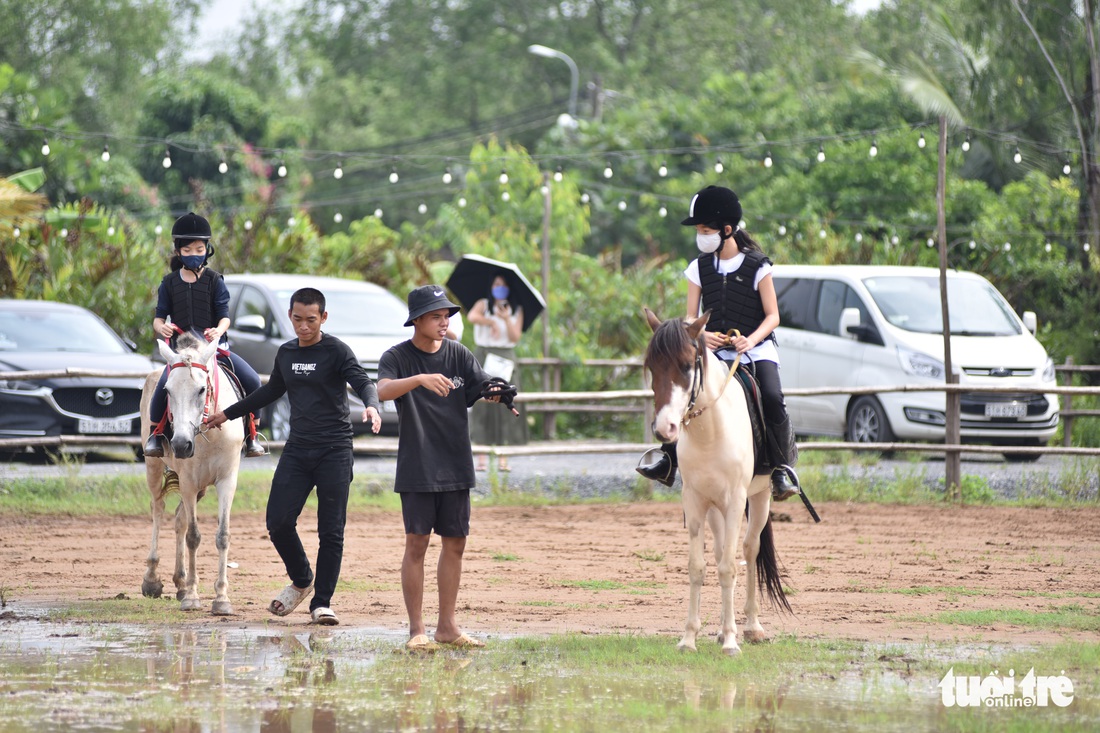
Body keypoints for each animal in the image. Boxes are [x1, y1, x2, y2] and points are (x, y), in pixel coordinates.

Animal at [139, 330, 245, 611]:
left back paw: (180, 582)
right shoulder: (187, 481)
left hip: (200, 488)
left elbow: (222, 535)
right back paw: (152, 580)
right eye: (167, 391)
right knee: (158, 509)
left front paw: (221, 599)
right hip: (154, 468)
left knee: (179, 519)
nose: (180, 444)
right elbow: (194, 537)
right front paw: (192, 597)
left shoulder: (226, 480)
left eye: (201, 389)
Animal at [642, 305, 792, 651]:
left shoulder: (736, 500)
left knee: (749, 551)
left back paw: (751, 627)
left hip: (758, 498)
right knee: (723, 549)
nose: (665, 428)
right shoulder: (696, 502)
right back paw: (726, 628)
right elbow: (698, 567)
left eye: (686, 365)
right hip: (715, 509)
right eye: (652, 367)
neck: (710, 432)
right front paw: (689, 638)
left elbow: (729, 568)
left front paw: (731, 644)